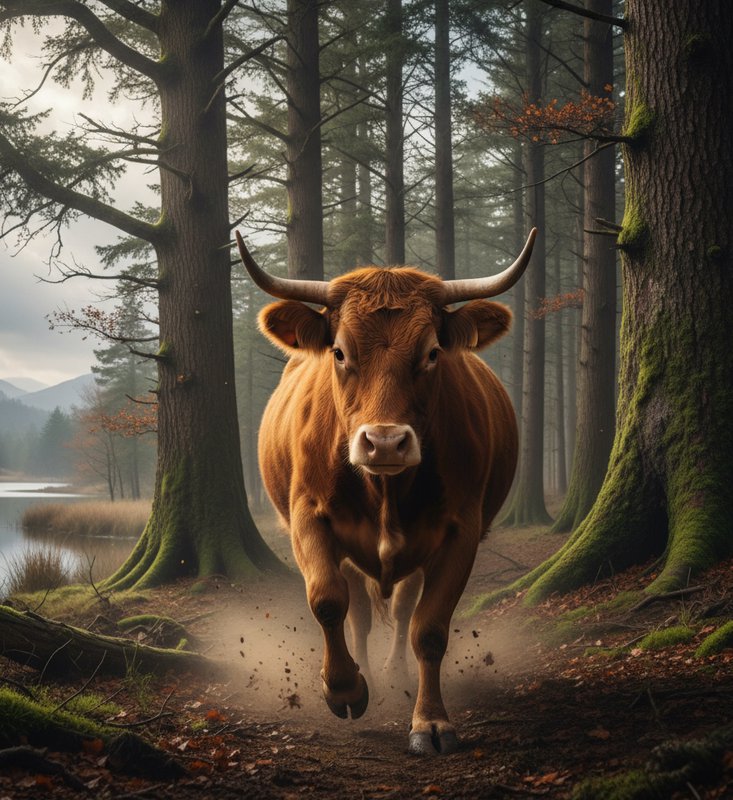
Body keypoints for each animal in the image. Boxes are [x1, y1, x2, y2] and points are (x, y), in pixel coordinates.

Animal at [236, 229, 536, 756]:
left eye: (432, 352)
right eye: (339, 352)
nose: (385, 442)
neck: (385, 491)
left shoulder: (460, 530)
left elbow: (429, 629)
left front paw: (430, 720)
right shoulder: (308, 517)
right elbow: (327, 601)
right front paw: (344, 689)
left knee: (401, 611)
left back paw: (396, 672)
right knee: (358, 612)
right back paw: (365, 674)